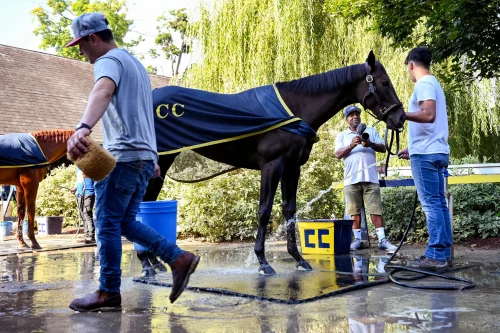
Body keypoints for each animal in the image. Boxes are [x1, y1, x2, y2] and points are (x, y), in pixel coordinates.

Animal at [142, 50, 406, 274]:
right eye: (384, 82)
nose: (400, 117)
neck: (294, 110)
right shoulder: (272, 165)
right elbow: (264, 211)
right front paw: (262, 262)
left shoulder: (292, 167)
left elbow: (289, 211)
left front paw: (298, 259)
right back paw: (146, 265)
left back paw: (154, 263)